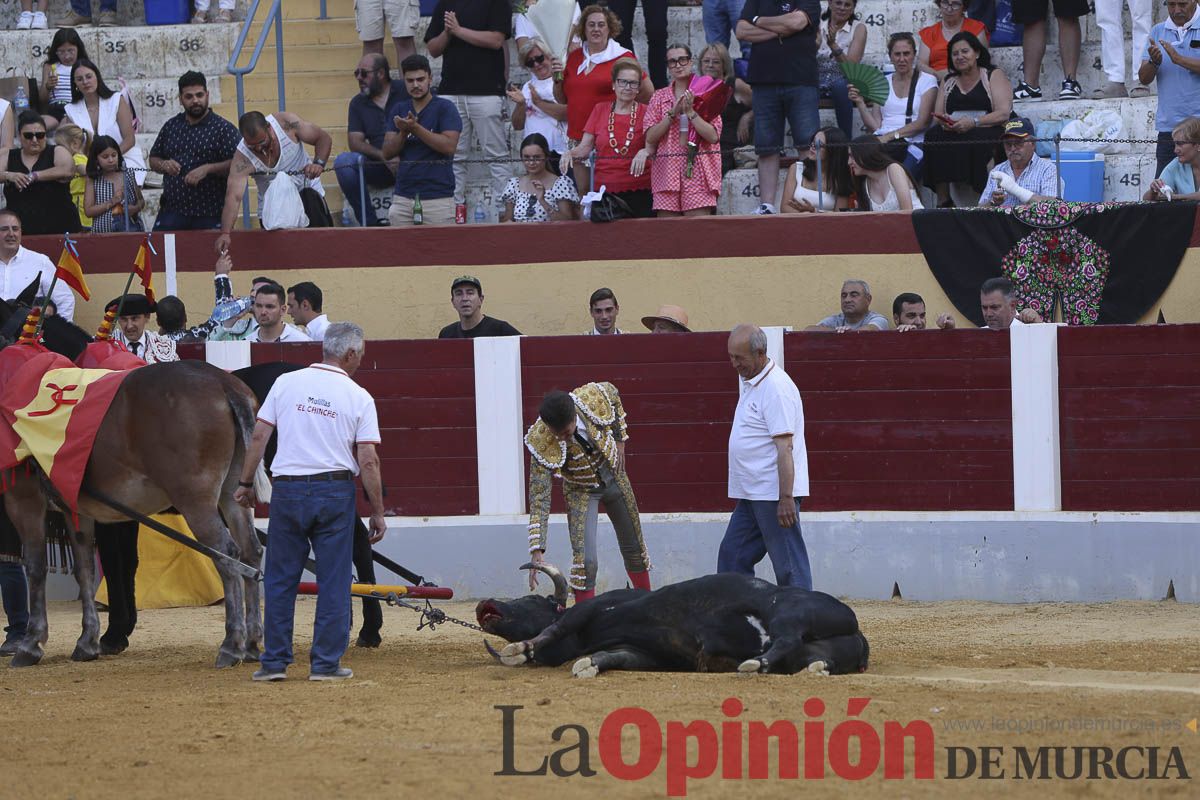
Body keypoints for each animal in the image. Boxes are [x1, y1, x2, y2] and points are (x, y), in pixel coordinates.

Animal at [477, 561, 873, 681]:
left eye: (531, 599)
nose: (484, 604)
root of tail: (858, 630)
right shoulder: (645, 654)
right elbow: (612, 657)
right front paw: (587, 665)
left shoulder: (591, 609)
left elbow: (554, 626)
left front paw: (518, 649)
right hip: (818, 650)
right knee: (815, 659)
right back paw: (804, 669)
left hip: (788, 610)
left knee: (786, 638)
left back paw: (751, 664)